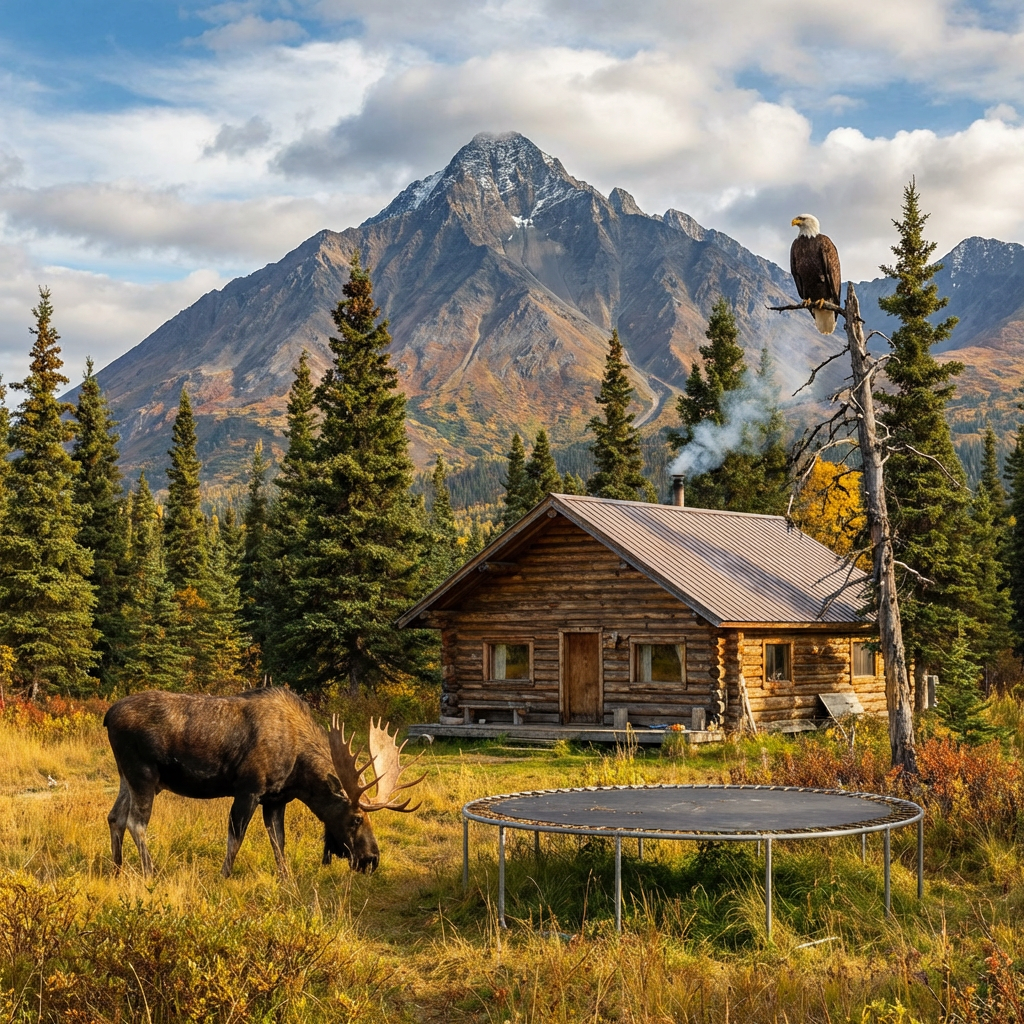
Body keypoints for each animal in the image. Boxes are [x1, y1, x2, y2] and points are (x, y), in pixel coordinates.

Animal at [103, 687, 424, 878]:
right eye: (357, 818)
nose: (372, 859)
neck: (299, 773)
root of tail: (108, 716)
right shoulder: (249, 789)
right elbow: (236, 838)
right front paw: (224, 876)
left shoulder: (276, 799)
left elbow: (279, 843)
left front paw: (286, 878)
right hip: (143, 773)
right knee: (136, 822)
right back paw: (149, 872)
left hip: (125, 775)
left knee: (114, 816)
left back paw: (117, 870)